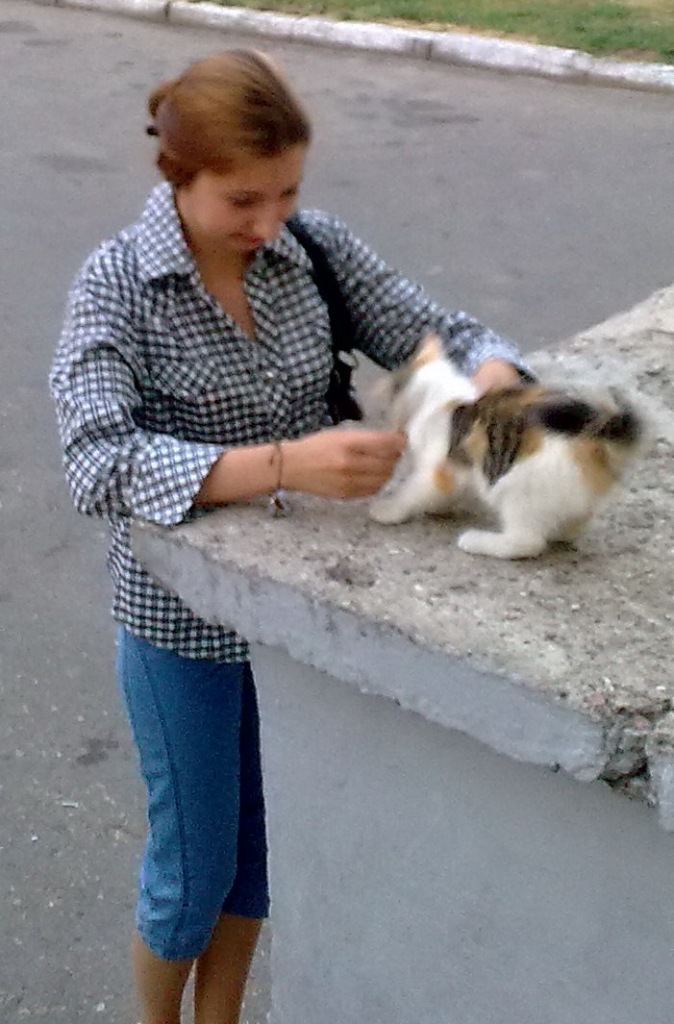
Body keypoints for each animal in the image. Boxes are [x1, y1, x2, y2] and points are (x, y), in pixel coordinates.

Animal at [369, 334, 644, 559]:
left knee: (528, 542)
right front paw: (443, 508)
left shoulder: (440, 471)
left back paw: (478, 541)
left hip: (518, 485)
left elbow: (414, 491)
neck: (441, 397)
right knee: (571, 525)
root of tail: (596, 439)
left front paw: (389, 509)